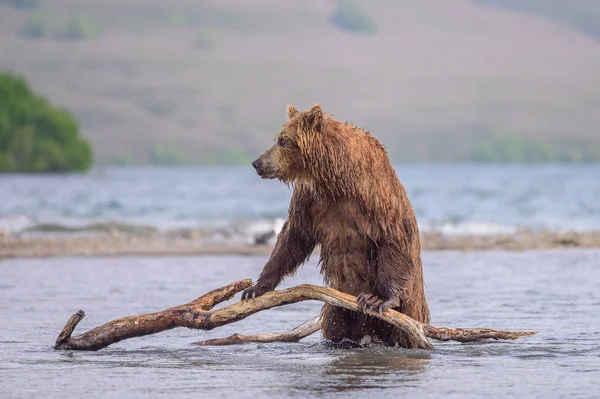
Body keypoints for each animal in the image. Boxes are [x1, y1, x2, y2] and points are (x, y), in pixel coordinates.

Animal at [241, 104, 428, 350]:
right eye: (277, 138)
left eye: (283, 140)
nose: (257, 163)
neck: (336, 179)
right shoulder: (309, 200)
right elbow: (292, 237)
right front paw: (255, 288)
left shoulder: (376, 197)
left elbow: (392, 238)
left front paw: (377, 298)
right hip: (339, 309)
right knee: (336, 327)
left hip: (410, 309)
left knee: (405, 334)